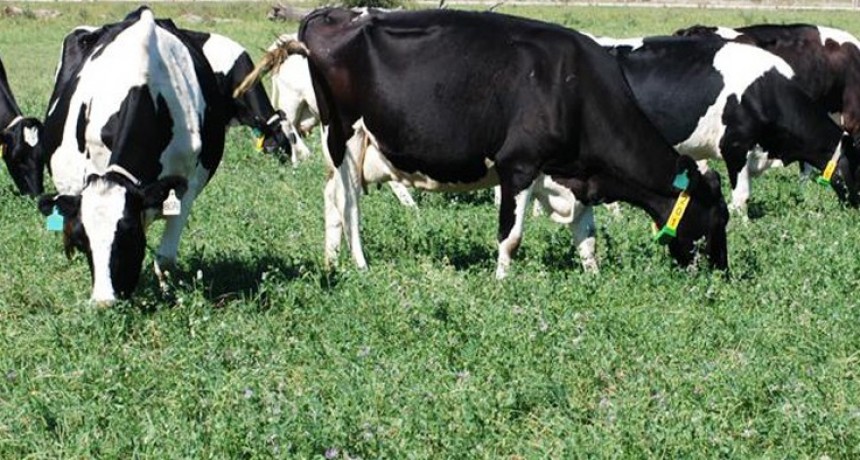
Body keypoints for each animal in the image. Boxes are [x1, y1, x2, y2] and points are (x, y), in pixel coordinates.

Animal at [36, 7, 229, 304]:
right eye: (83, 241)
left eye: (128, 236)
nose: (103, 302)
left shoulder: (186, 187)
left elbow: (166, 256)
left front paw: (166, 291)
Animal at [240, 8, 730, 277]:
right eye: (717, 218)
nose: (722, 274)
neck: (576, 88)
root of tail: (331, 14)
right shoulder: (519, 164)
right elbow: (510, 236)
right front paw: (501, 282)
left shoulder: (574, 175)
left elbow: (587, 238)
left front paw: (593, 279)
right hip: (344, 132)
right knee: (348, 201)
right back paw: (359, 263)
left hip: (341, 142)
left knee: (330, 197)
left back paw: (331, 260)